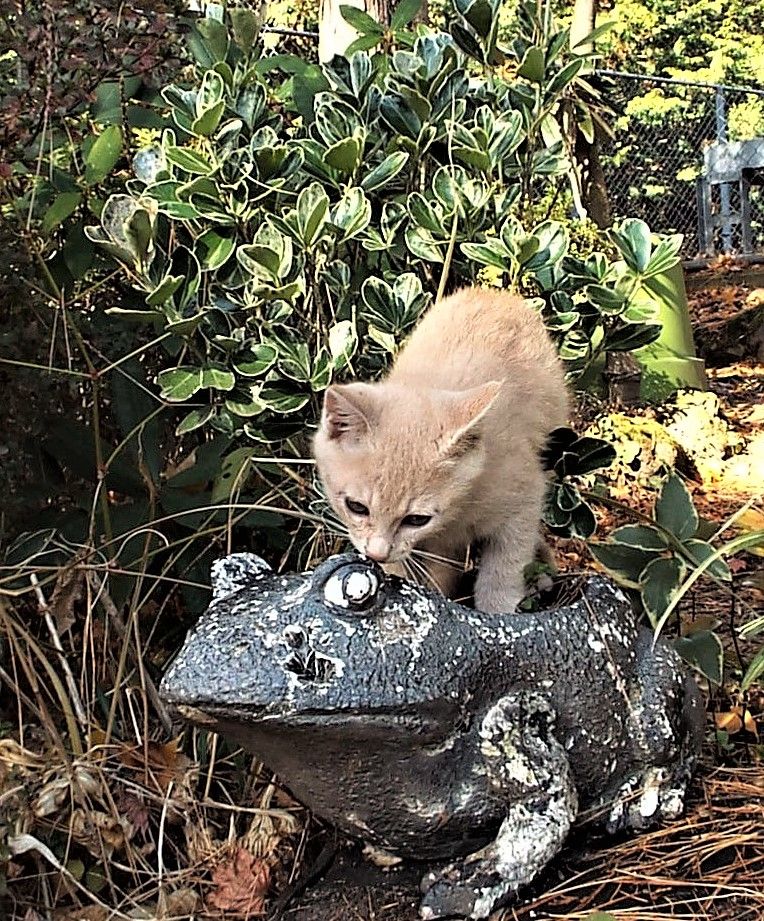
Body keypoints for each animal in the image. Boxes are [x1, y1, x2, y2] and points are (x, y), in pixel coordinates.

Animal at [310, 288, 568, 616]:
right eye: (356, 507)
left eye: (416, 519)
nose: (377, 554)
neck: (457, 513)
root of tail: (494, 293)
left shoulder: (524, 497)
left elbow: (506, 565)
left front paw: (497, 609)